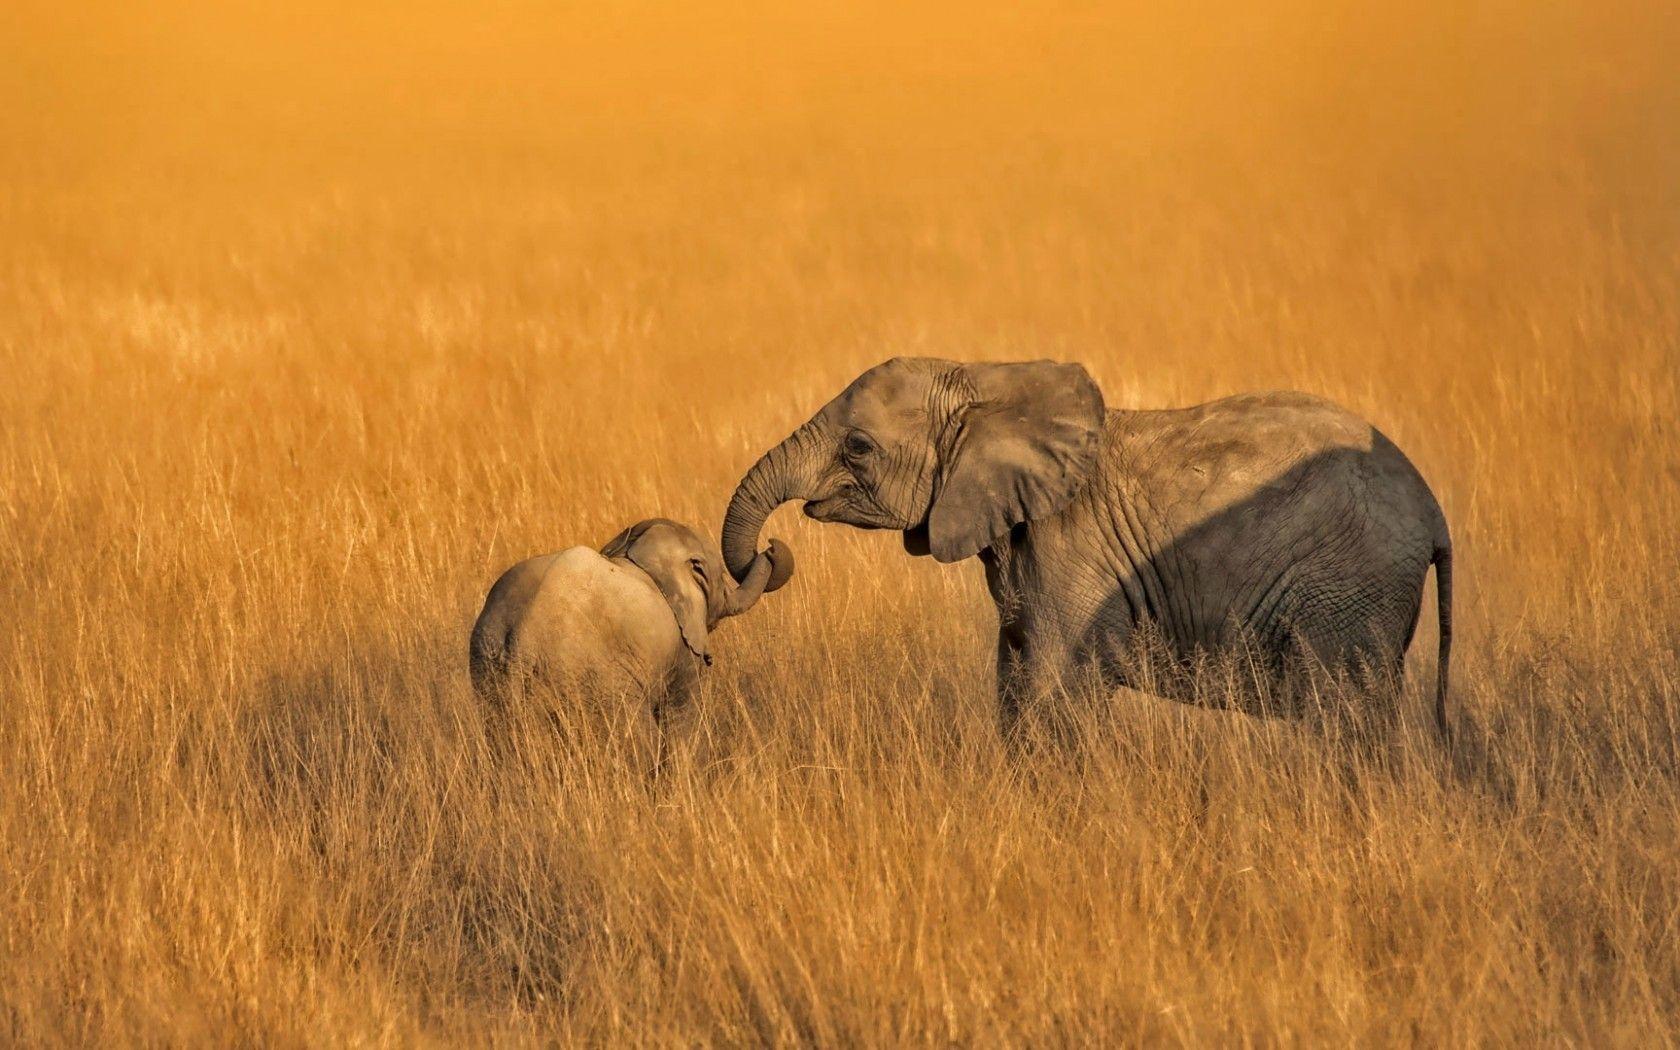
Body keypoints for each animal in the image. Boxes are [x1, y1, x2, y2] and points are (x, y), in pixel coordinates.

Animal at [471, 518, 793, 765]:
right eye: (718, 576)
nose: (771, 546)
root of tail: (523, 638)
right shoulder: (684, 649)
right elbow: (682, 715)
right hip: (595, 682)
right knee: (638, 739)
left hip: (488, 665)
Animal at [721, 358, 1452, 737]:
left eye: (858, 448)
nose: (771, 552)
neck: (987, 383)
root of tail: (1433, 511)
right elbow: (1015, 678)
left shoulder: (1071, 551)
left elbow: (1051, 687)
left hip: (1348, 587)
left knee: (1340, 718)